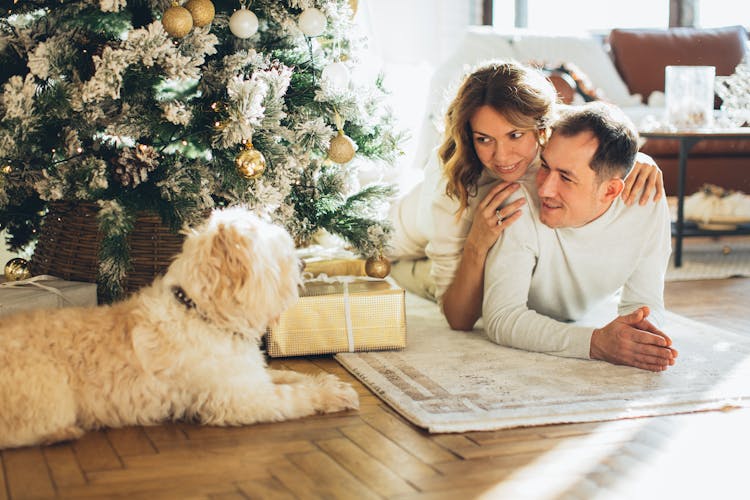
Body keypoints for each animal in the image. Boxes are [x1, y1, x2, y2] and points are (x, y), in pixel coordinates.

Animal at [0, 207, 362, 450]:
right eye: (280, 254)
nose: (303, 263)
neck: (199, 313)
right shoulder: (240, 399)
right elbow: (293, 395)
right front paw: (330, 393)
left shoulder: (249, 377)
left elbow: (288, 376)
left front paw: (325, 381)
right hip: (51, 394)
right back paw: (62, 433)